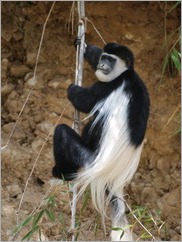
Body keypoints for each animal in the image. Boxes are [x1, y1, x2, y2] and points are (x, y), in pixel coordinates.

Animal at [52, 42, 149, 240]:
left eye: (110, 60)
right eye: (104, 57)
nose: (102, 65)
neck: (126, 74)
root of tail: (113, 177)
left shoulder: (108, 86)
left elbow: (84, 101)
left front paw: (72, 88)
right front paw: (86, 48)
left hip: (89, 158)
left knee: (62, 133)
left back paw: (61, 173)